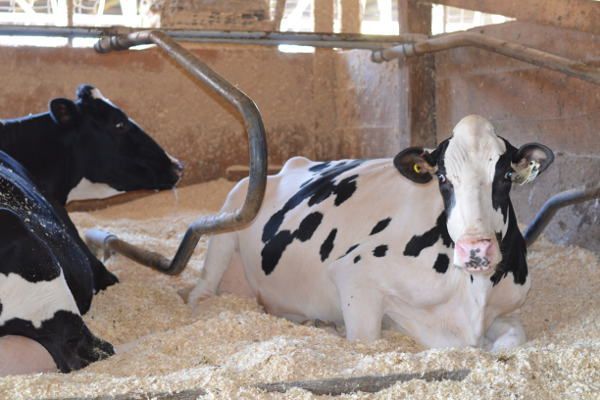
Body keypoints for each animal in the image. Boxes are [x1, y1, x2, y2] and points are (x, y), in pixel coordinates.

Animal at [190, 115, 556, 350]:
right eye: (442, 178)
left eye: (506, 176)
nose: (476, 249)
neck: (472, 293)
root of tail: (292, 164)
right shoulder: (355, 272)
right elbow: (366, 340)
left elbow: (512, 338)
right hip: (231, 213)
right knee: (203, 287)